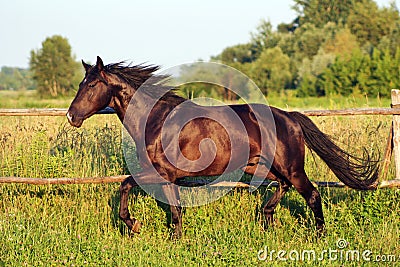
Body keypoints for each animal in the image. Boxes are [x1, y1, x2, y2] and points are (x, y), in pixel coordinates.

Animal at [67, 56, 380, 239]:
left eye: (92, 85)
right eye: (82, 83)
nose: (71, 116)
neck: (156, 120)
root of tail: (290, 117)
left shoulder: (160, 173)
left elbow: (130, 188)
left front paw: (137, 226)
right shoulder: (165, 176)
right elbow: (163, 204)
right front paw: (165, 235)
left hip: (292, 167)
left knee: (312, 194)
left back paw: (318, 235)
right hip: (262, 166)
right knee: (282, 186)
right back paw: (267, 219)